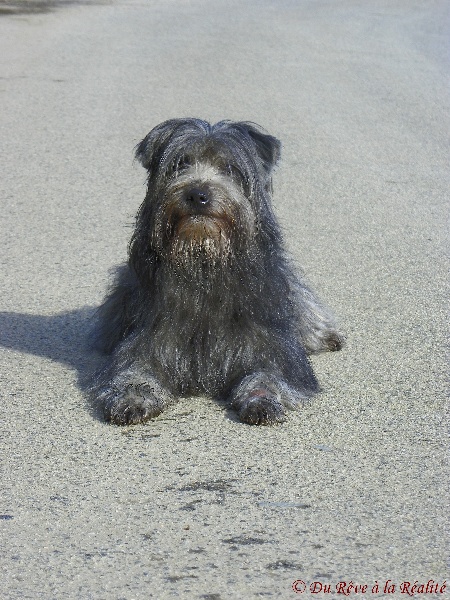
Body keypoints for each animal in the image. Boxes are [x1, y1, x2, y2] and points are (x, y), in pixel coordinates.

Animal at [91, 118, 344, 426]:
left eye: (230, 168)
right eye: (180, 163)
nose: (198, 195)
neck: (204, 262)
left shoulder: (270, 343)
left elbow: (268, 375)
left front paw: (261, 400)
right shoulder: (149, 338)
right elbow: (134, 369)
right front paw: (132, 398)